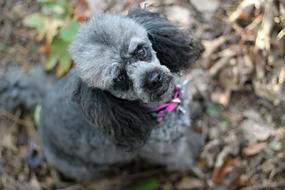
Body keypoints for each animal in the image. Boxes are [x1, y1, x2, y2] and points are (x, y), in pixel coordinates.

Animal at [38, 8, 203, 181]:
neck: (163, 108)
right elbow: (183, 155)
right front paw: (194, 148)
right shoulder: (167, 149)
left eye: (140, 51)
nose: (154, 80)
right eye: (120, 79)